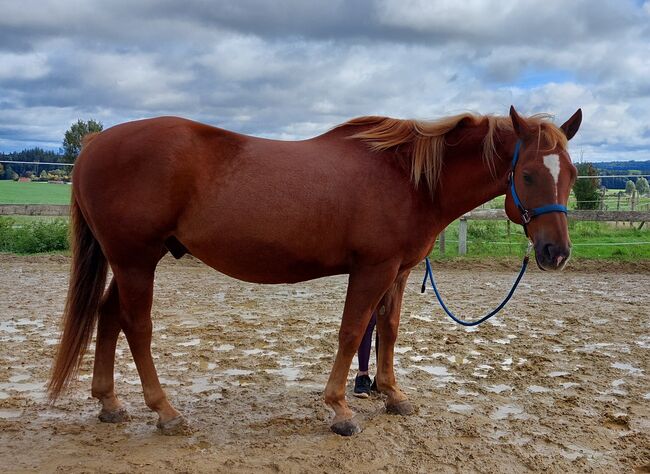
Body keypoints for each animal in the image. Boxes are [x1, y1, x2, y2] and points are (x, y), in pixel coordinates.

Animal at [48, 105, 580, 436]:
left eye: (571, 174)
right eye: (528, 173)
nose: (555, 252)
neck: (407, 178)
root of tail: (95, 143)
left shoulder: (399, 272)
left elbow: (387, 329)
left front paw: (392, 394)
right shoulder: (372, 270)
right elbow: (352, 333)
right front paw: (341, 409)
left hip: (132, 261)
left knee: (108, 316)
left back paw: (109, 404)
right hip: (136, 260)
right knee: (135, 326)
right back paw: (165, 412)